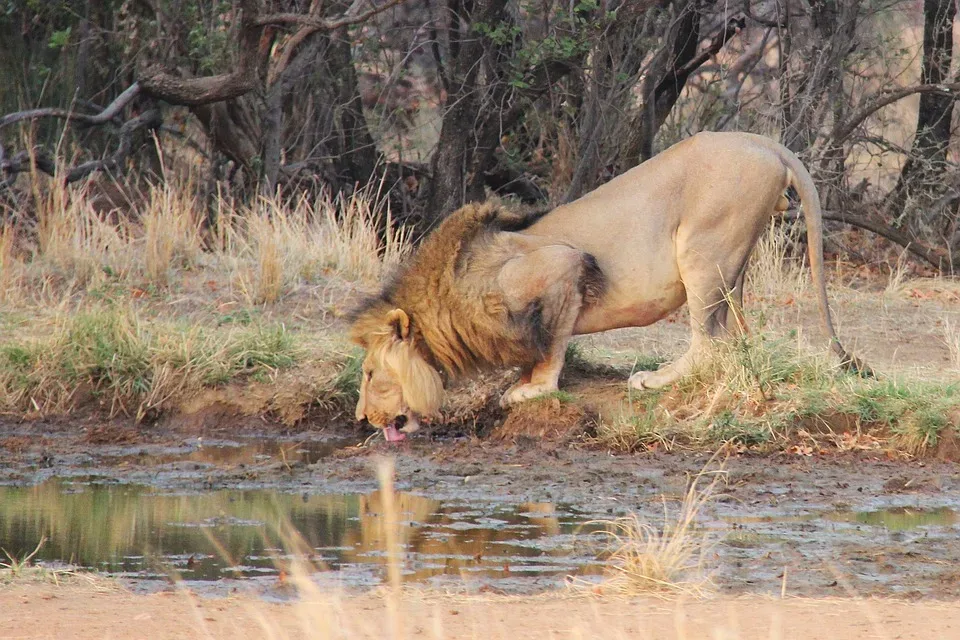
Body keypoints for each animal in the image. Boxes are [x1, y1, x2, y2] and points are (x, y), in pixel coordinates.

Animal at [348, 130, 868, 440]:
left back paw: (654, 379)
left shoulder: (561, 264)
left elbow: (551, 348)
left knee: (707, 342)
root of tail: (764, 142)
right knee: (731, 339)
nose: (361, 420)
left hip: (703, 248)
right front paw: (522, 382)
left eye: (371, 374)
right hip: (731, 265)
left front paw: (532, 391)